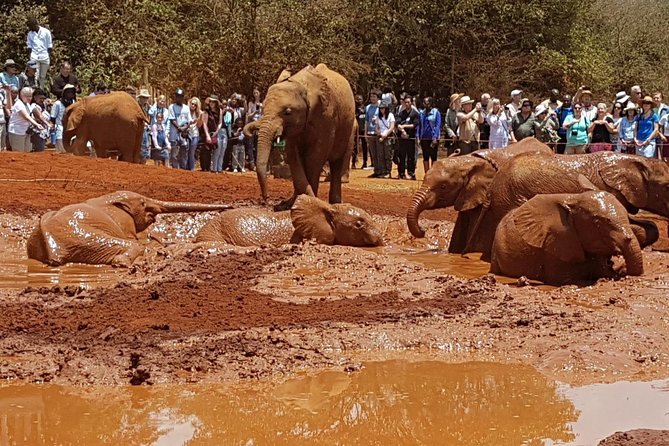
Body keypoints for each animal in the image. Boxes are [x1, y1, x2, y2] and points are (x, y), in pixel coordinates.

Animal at [243, 64, 356, 210]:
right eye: (262, 109)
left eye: (288, 112)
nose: (266, 199)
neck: (301, 85)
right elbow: (293, 156)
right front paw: (292, 203)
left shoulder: (327, 117)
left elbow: (314, 157)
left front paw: (311, 202)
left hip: (348, 128)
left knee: (337, 161)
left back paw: (335, 203)